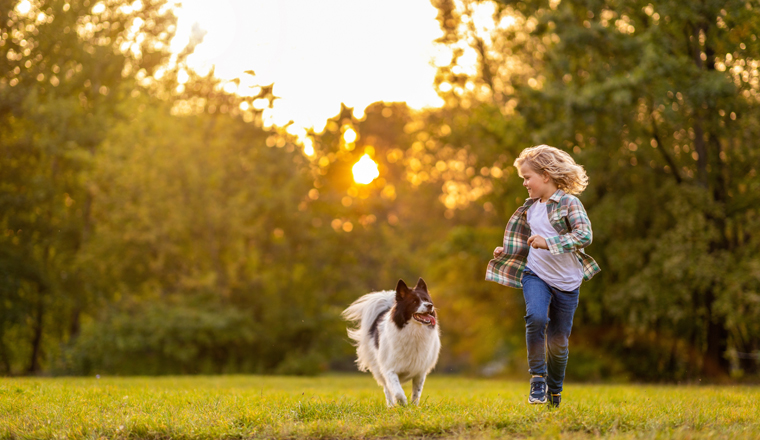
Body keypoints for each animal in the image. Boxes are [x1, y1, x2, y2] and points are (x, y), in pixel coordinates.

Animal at [342, 278, 442, 406]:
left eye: (426, 300)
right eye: (414, 301)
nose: (430, 305)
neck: (413, 331)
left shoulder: (420, 372)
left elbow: (416, 393)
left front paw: (414, 407)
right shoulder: (389, 370)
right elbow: (397, 391)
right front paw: (402, 403)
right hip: (378, 368)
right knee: (386, 389)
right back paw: (390, 406)